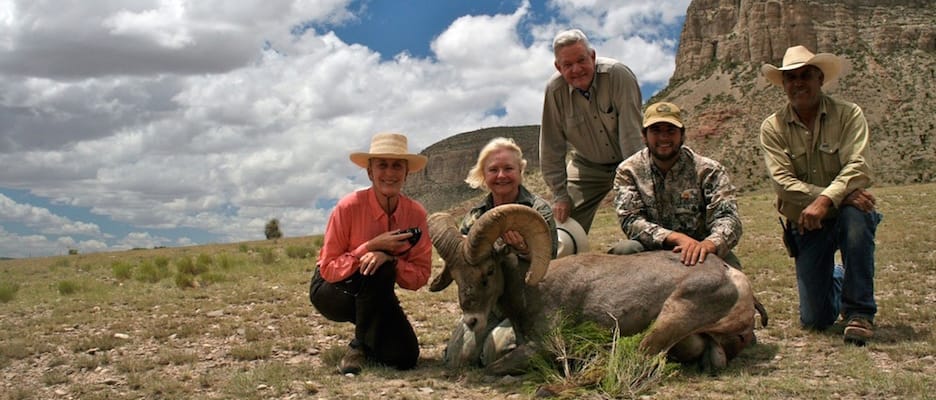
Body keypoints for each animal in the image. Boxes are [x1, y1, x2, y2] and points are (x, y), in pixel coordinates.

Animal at [428, 203, 764, 376]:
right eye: (455, 276)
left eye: (488, 271)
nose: (472, 320)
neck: (531, 292)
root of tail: (733, 277)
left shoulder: (544, 346)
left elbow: (492, 368)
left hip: (671, 318)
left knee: (637, 355)